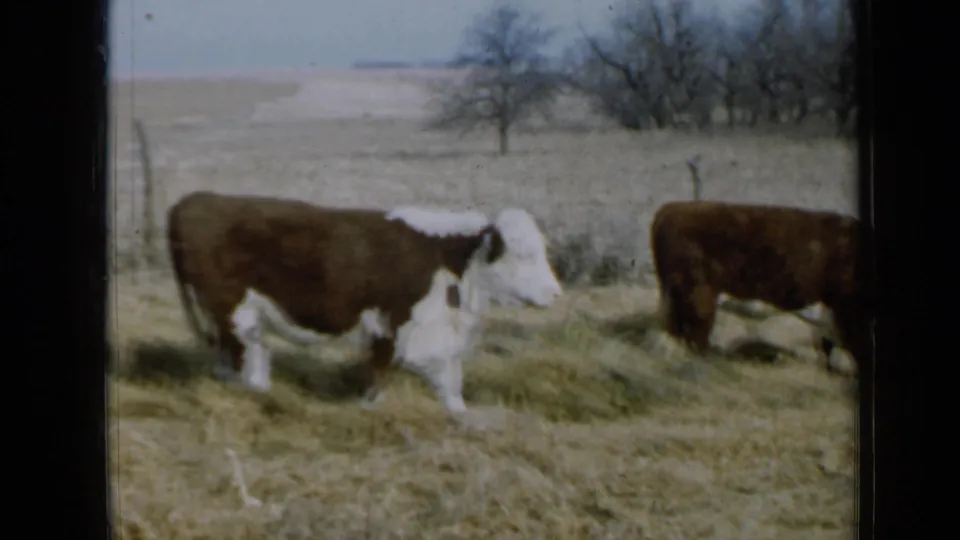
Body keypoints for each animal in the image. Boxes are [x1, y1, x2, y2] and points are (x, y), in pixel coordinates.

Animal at [166, 191, 563, 415]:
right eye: (524, 254)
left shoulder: (437, 333)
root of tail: (195, 199)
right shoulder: (395, 328)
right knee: (245, 359)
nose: (556, 294)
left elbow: (451, 383)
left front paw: (461, 415)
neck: (448, 258)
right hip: (234, 312)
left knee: (250, 357)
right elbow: (381, 376)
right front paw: (370, 408)